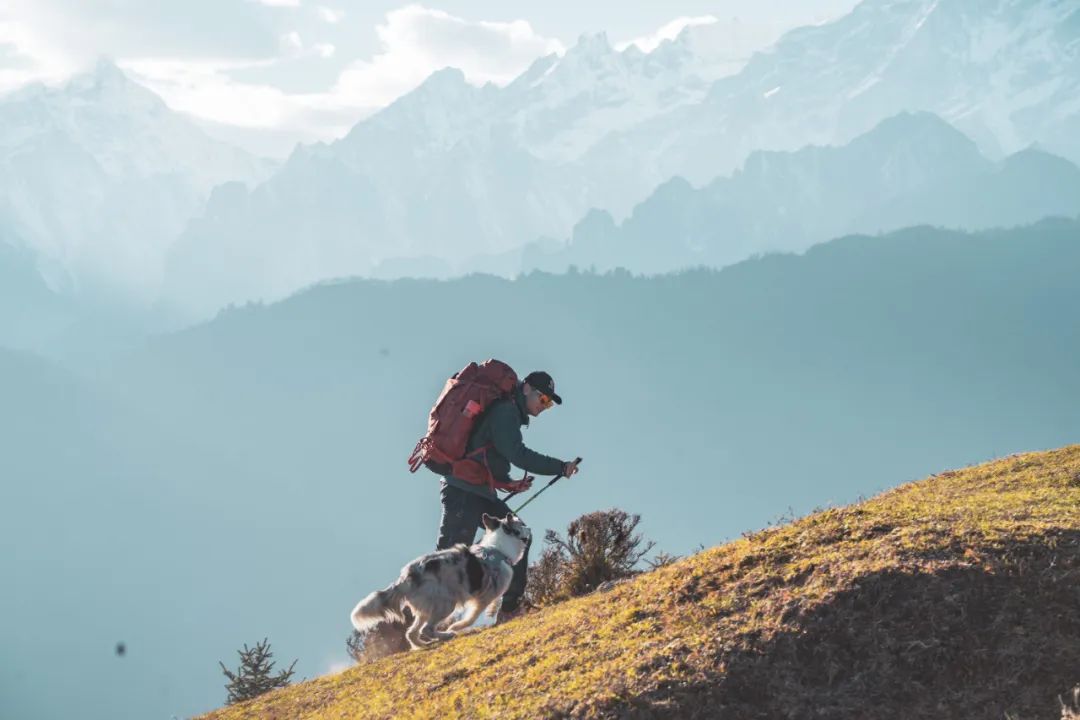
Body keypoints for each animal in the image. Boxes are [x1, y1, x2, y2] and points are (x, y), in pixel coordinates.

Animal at [349, 511, 531, 647]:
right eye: (521, 524)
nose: (529, 527)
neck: (497, 548)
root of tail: (406, 577)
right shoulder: (484, 597)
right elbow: (471, 618)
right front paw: (457, 626)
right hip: (446, 604)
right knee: (426, 629)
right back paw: (446, 635)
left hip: (426, 608)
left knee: (412, 633)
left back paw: (423, 644)